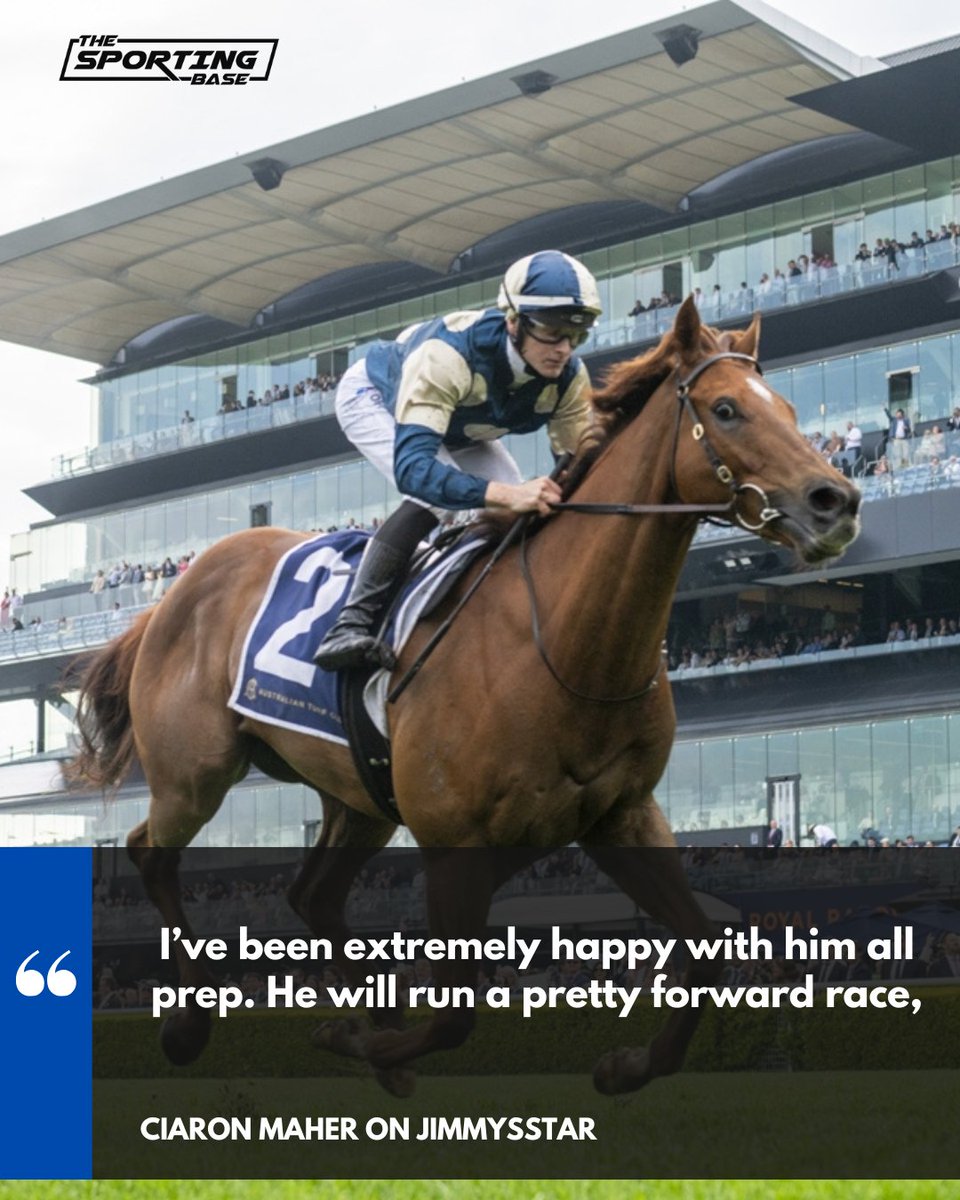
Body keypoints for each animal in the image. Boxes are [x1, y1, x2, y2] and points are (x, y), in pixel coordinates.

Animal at [68, 297, 860, 1095]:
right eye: (726, 409)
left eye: (789, 408)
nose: (837, 500)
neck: (562, 642)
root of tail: (174, 594)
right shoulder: (456, 848)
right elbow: (454, 1017)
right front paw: (356, 1041)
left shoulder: (621, 817)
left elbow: (705, 957)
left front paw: (624, 1066)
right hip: (193, 776)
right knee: (150, 854)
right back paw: (193, 1023)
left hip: (356, 796)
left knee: (311, 894)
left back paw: (370, 1025)